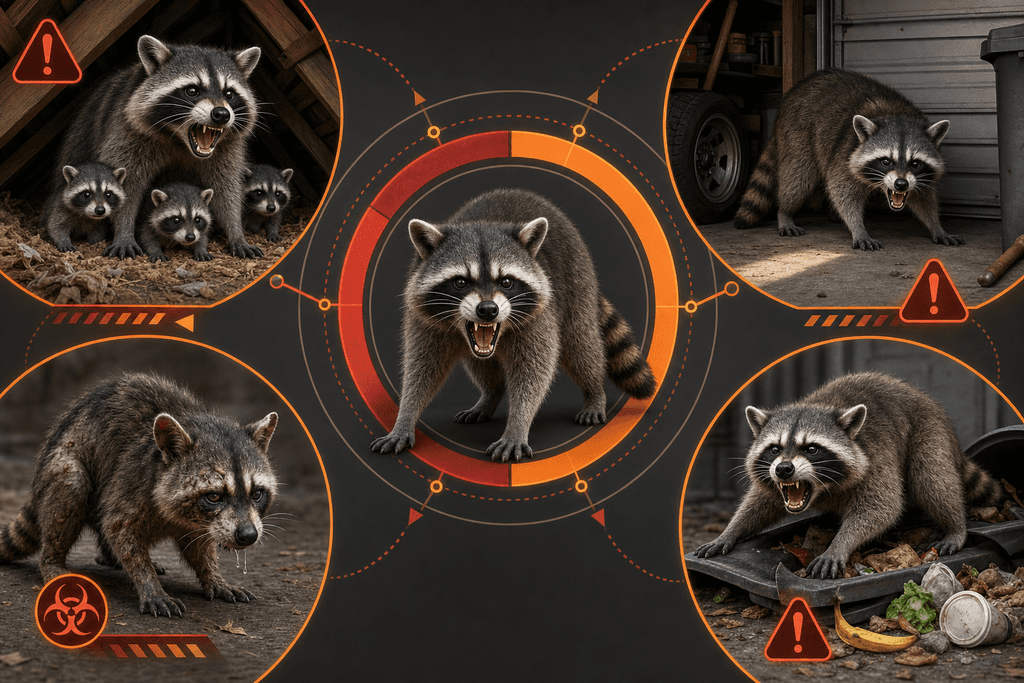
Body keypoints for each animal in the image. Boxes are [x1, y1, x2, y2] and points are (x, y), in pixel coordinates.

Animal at [0, 373, 279, 617]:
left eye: (256, 494)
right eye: (214, 497)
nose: (248, 535)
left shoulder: (200, 521)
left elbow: (198, 543)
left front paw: (213, 576)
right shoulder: (131, 478)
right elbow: (118, 526)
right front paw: (149, 583)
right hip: (61, 464)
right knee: (73, 483)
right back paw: (52, 562)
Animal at [52, 35, 262, 259]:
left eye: (229, 94)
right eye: (192, 90)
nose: (222, 114)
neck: (179, 140)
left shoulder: (226, 150)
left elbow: (226, 188)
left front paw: (236, 232)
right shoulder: (127, 133)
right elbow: (127, 184)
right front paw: (123, 231)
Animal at [370, 188, 656, 463]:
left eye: (506, 281)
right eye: (461, 282)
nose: (487, 310)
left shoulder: (539, 314)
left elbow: (534, 370)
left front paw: (518, 425)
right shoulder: (423, 318)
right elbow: (421, 368)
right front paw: (405, 417)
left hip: (577, 279)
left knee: (581, 345)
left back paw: (594, 391)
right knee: (479, 363)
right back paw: (491, 394)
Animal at [694, 372, 1001, 579]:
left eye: (811, 448)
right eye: (774, 449)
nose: (784, 469)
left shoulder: (876, 457)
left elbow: (881, 507)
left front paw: (840, 544)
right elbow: (760, 501)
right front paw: (731, 530)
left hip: (928, 430)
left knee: (932, 478)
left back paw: (955, 524)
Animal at [734, 69, 960, 251]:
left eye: (915, 163)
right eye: (886, 161)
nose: (901, 184)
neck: (898, 115)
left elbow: (923, 197)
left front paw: (936, 225)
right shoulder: (845, 152)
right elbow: (841, 189)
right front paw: (858, 227)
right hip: (798, 133)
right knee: (799, 177)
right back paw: (785, 211)